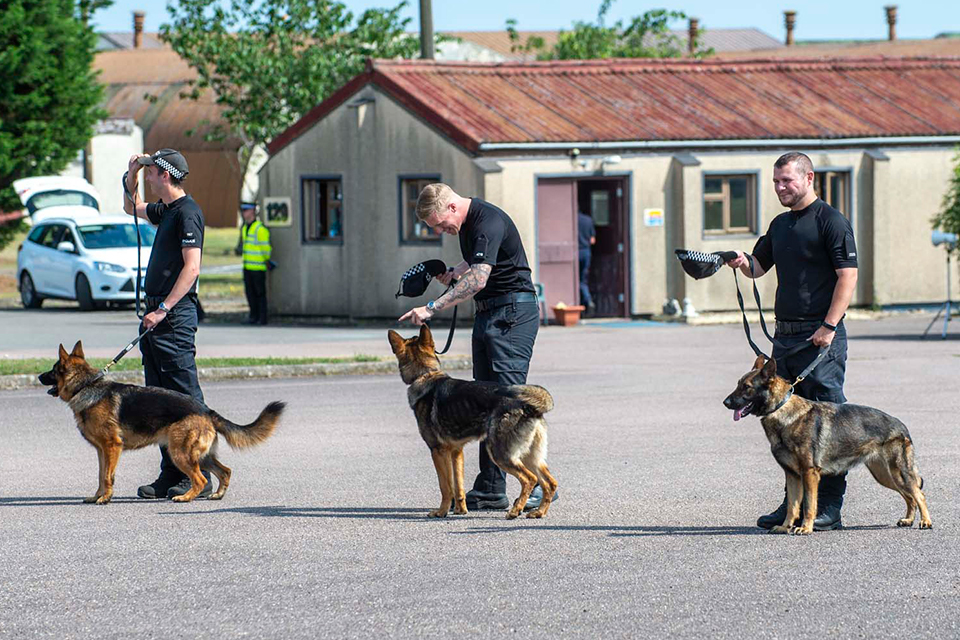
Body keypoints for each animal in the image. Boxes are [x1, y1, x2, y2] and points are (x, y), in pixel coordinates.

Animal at [38, 342, 284, 502]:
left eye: (52, 370)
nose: (39, 376)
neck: (86, 385)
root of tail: (206, 410)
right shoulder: (102, 451)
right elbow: (101, 475)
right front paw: (96, 496)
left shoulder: (112, 447)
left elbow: (108, 476)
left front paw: (105, 498)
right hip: (201, 456)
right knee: (225, 471)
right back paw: (217, 494)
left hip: (180, 453)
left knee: (199, 479)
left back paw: (186, 497)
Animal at [388, 324, 560, 520]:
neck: (425, 374)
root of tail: (528, 406)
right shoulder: (456, 452)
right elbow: (458, 485)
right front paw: (460, 510)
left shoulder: (438, 451)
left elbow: (445, 486)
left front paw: (441, 511)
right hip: (530, 456)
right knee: (550, 483)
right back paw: (539, 512)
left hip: (500, 454)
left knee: (529, 479)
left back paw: (516, 510)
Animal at [724, 358, 932, 532]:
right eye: (737, 385)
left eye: (747, 387)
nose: (725, 402)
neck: (782, 409)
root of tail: (901, 425)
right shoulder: (792, 476)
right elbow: (792, 506)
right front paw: (785, 527)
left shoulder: (809, 473)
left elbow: (809, 504)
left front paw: (805, 528)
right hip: (885, 475)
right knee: (909, 496)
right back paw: (908, 519)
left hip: (898, 472)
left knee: (918, 494)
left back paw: (925, 521)